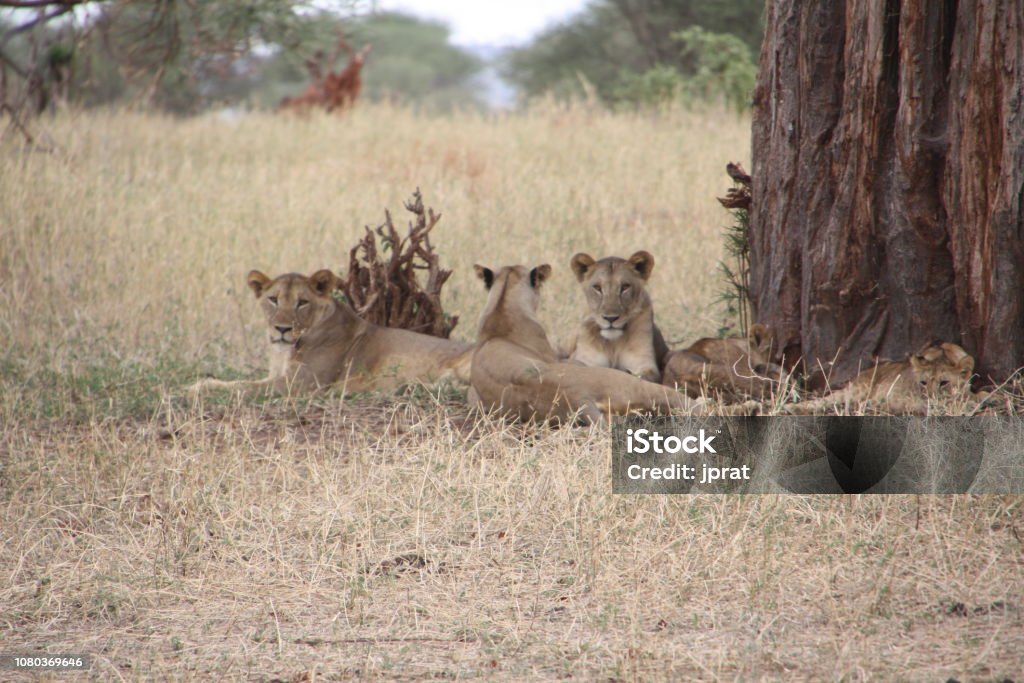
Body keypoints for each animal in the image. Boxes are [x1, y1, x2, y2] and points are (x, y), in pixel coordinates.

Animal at [188, 268, 471, 395]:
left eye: (302, 302)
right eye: (273, 299)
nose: (282, 328)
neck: (283, 351)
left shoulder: (301, 384)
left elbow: (244, 387)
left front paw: (198, 387)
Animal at [561, 249, 671, 382]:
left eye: (625, 287)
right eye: (597, 287)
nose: (610, 318)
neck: (613, 344)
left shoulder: (644, 364)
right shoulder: (587, 360)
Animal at [782, 342, 974, 417]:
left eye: (944, 383)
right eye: (923, 383)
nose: (931, 399)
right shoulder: (893, 395)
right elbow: (910, 403)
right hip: (857, 389)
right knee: (827, 401)